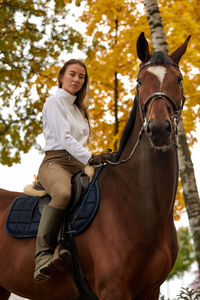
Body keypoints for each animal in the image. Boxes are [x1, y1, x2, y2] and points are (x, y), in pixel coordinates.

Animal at [0, 33, 191, 300]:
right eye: (140, 81)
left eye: (179, 79)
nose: (159, 129)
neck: (136, 202)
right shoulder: (113, 289)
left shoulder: (151, 290)